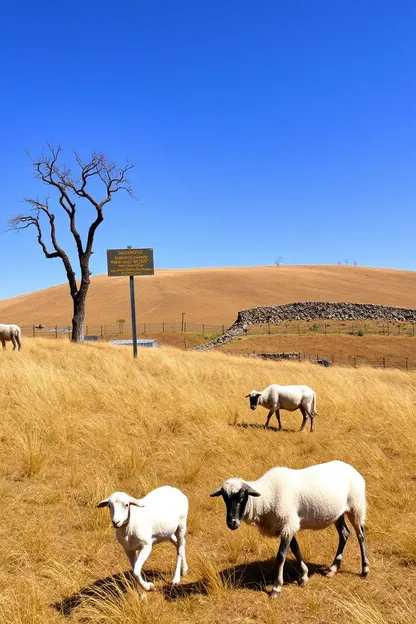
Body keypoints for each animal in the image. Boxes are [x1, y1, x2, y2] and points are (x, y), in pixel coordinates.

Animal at [211, 460, 370, 596]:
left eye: (241, 497)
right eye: (225, 499)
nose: (231, 523)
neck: (267, 497)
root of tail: (351, 468)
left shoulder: (288, 523)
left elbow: (281, 556)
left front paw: (276, 588)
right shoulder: (289, 525)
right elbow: (295, 549)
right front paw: (304, 576)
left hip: (356, 506)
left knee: (360, 535)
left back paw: (365, 569)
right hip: (339, 513)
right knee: (344, 534)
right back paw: (333, 569)